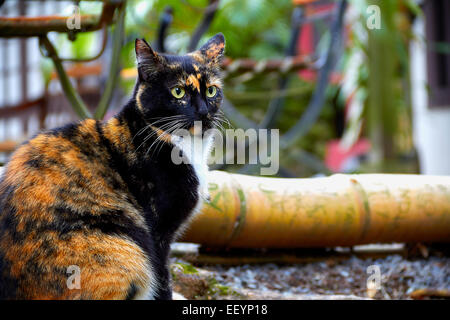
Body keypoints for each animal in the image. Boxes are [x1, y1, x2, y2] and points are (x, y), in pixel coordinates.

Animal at [0, 33, 225, 298]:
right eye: (178, 92)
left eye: (211, 90)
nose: (203, 111)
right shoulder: (158, 231)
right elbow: (162, 276)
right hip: (125, 251)